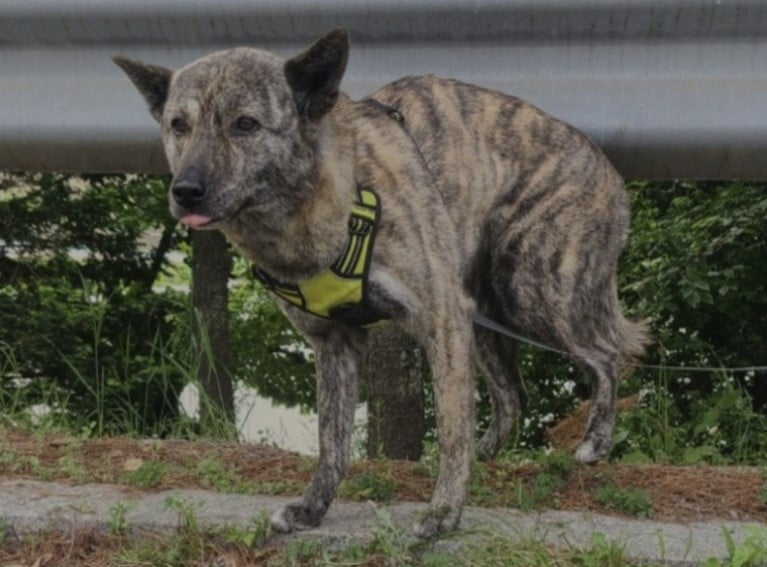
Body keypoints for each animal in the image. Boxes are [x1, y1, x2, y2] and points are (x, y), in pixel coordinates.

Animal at [114, 26, 648, 540]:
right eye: (178, 126)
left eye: (245, 124)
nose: (186, 191)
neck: (326, 196)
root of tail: (610, 172)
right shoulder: (334, 344)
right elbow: (332, 442)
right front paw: (313, 509)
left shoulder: (438, 320)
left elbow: (450, 425)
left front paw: (444, 514)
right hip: (482, 319)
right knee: (514, 396)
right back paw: (487, 455)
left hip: (532, 291)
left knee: (606, 357)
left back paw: (594, 442)